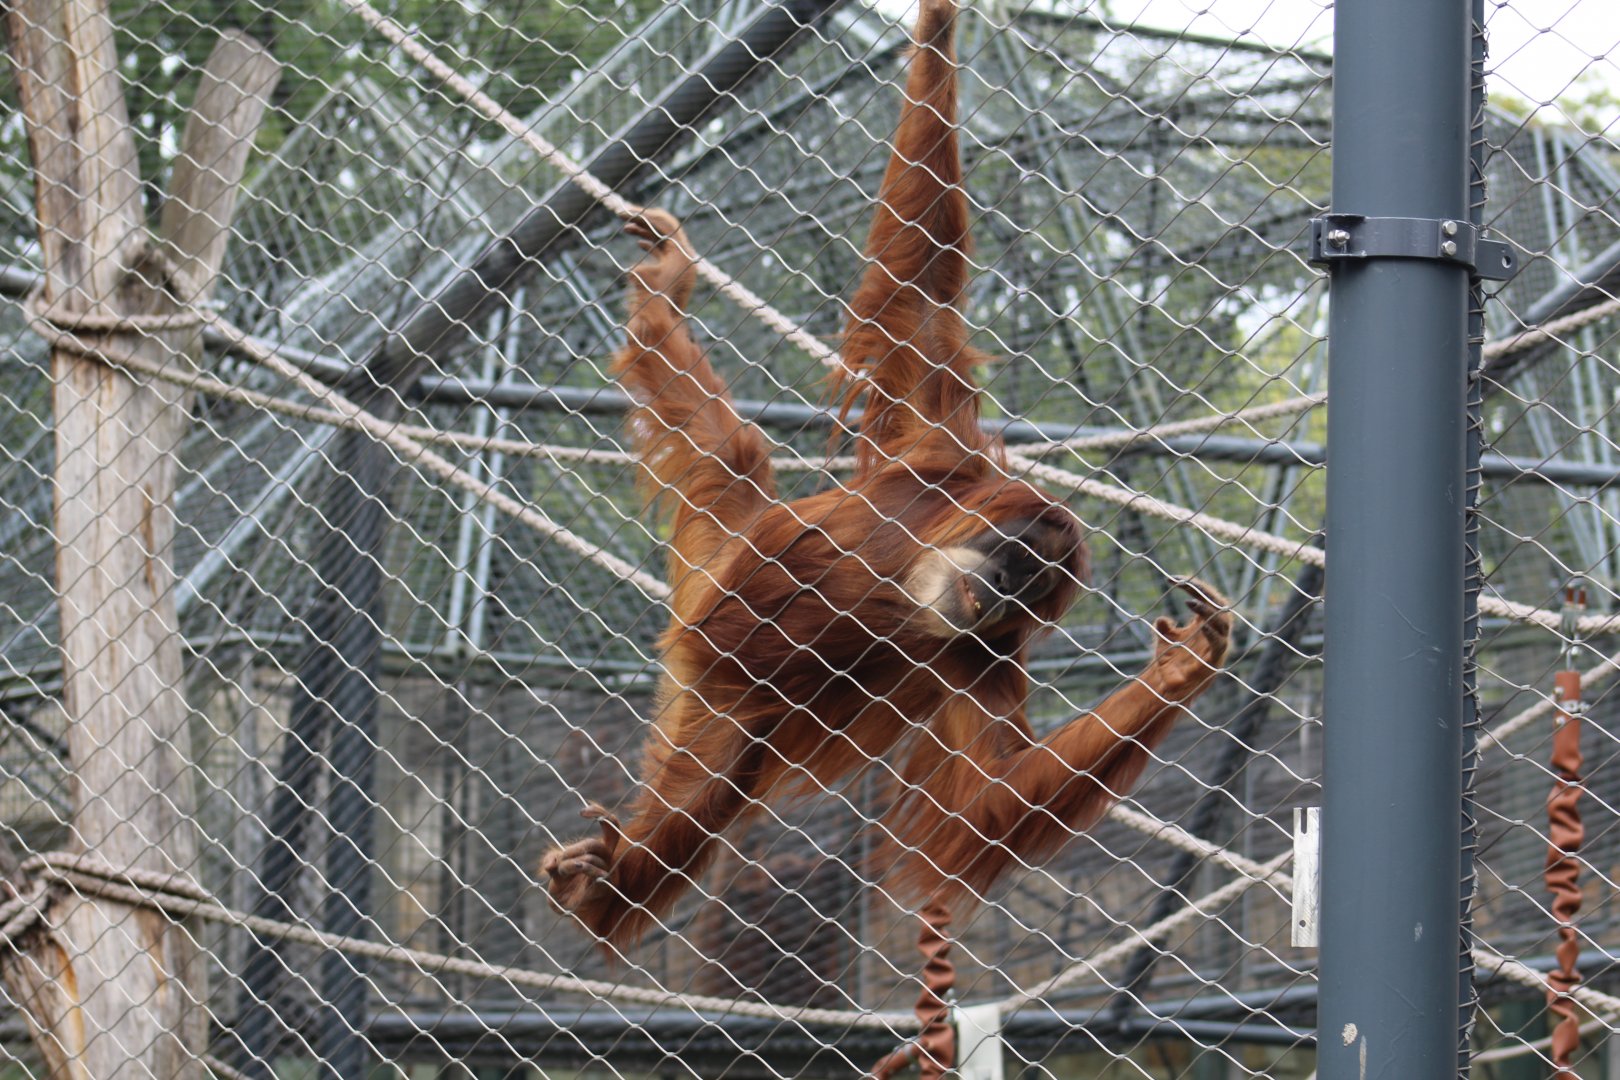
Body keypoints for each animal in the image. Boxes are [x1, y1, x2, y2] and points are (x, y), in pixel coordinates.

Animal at [540, 0, 1231, 951]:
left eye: (1025, 596)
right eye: (1017, 566)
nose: (995, 597)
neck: (920, 575)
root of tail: (691, 618)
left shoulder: (982, 660)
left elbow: (994, 796)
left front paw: (1183, 670)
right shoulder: (940, 457)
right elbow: (923, 292)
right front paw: (941, 21)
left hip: (728, 712)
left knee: (705, 795)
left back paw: (609, 885)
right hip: (733, 541)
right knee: (733, 452)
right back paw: (664, 299)